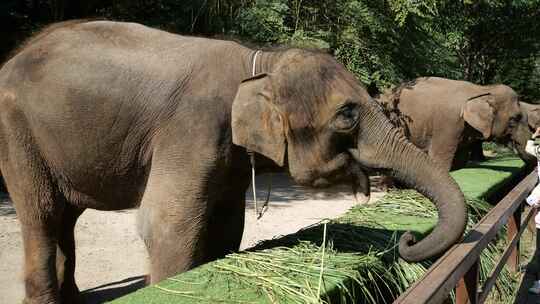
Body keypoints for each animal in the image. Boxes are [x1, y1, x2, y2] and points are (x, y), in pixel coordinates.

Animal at [0, 20, 464, 302]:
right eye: (347, 115)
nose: (407, 239)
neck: (259, 61)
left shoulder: (228, 153)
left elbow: (226, 226)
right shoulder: (193, 126)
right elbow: (166, 224)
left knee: (66, 217)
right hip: (16, 131)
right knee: (43, 213)